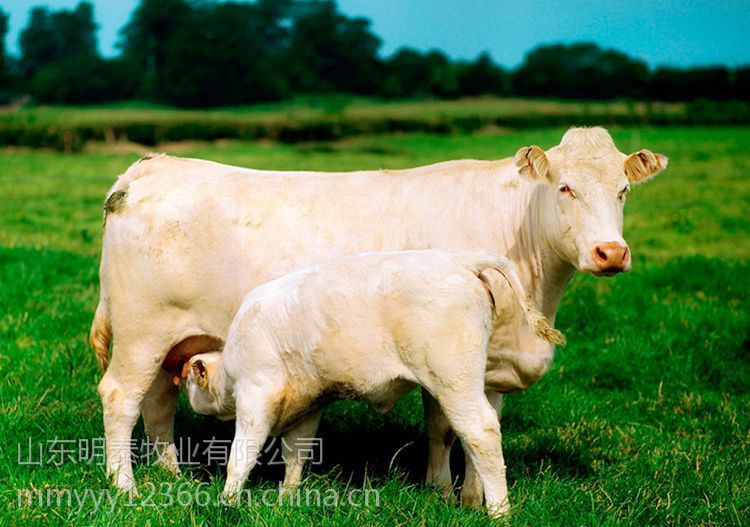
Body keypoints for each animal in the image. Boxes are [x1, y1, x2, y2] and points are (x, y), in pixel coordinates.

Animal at [178, 250, 564, 516]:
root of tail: (459, 259)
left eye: (189, 383)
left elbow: (241, 455)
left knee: (481, 432)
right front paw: (287, 500)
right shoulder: (310, 405)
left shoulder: (256, 394)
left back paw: (499, 512)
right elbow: (295, 456)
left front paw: (227, 502)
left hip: (454, 381)